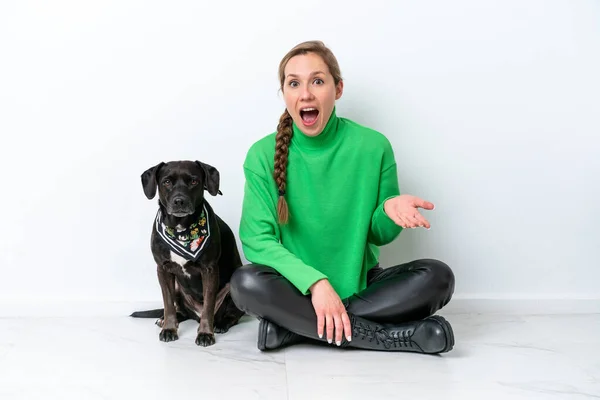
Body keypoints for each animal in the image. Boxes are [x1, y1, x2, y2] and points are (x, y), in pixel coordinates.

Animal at [130, 160, 245, 346]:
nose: (179, 201)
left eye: (194, 181)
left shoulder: (209, 270)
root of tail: (194, 315)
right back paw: (165, 319)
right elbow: (168, 304)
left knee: (231, 315)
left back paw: (220, 324)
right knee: (181, 311)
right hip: (178, 287)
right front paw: (169, 328)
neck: (181, 229)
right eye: (166, 182)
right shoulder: (163, 269)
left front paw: (205, 333)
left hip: (232, 288)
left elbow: (208, 306)